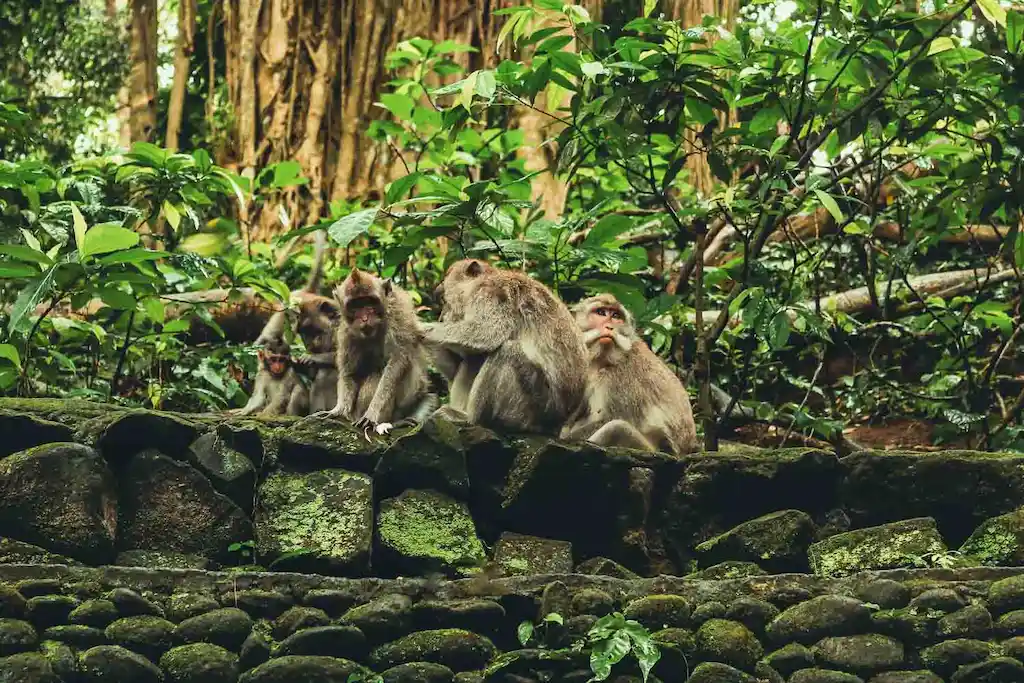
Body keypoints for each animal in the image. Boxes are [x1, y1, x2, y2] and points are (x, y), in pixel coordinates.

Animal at [319, 268, 437, 436]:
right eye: (355, 305)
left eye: (369, 302)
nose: (364, 318)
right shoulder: (347, 332)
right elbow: (350, 373)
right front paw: (339, 410)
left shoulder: (399, 314)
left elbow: (397, 361)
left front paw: (372, 414)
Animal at [423, 259, 587, 434]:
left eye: (444, 301)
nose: (441, 317)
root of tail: (559, 424)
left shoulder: (493, 293)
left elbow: (488, 333)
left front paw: (423, 329)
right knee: (476, 358)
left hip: (539, 406)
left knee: (507, 352)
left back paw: (471, 420)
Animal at [559, 293, 698, 455]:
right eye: (601, 312)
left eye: (616, 316)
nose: (610, 327)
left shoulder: (619, 378)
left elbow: (609, 418)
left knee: (617, 429)